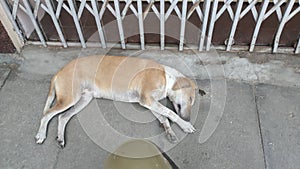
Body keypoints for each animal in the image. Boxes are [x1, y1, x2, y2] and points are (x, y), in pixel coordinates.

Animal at [34, 55, 205, 148]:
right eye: (190, 99)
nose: (188, 117)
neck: (166, 76)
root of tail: (59, 71)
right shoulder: (147, 99)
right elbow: (170, 113)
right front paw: (185, 125)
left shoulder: (148, 102)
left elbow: (164, 117)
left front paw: (169, 131)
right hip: (70, 98)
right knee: (47, 114)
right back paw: (41, 134)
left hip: (84, 99)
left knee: (62, 117)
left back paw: (61, 138)